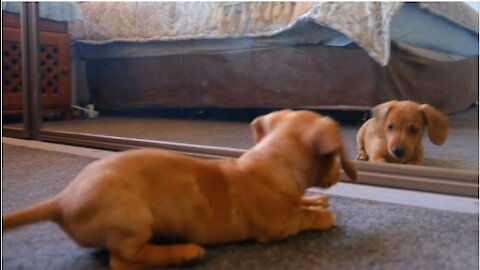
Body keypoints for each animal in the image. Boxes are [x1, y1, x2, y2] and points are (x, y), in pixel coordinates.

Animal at [2, 109, 356, 268]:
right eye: (334, 157)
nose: (338, 174)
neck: (271, 161)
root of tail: (63, 200)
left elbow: (302, 202)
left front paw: (316, 200)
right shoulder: (277, 226)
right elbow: (301, 218)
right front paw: (321, 215)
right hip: (133, 221)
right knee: (123, 260)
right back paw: (182, 252)